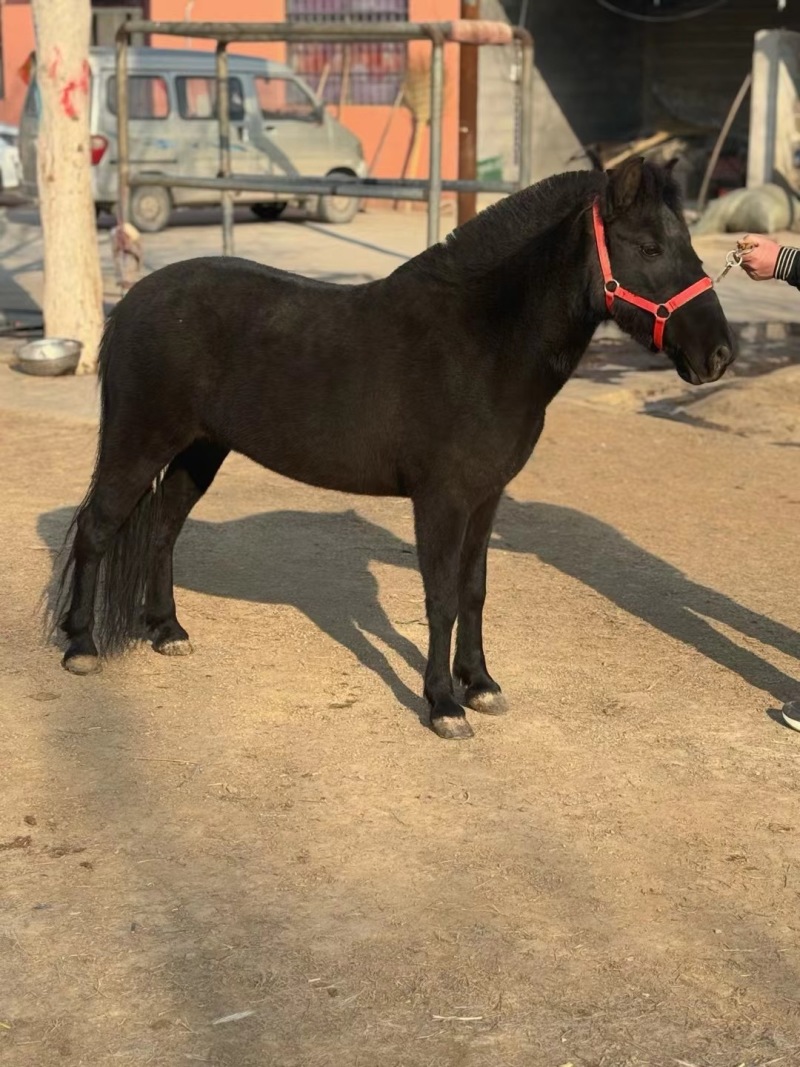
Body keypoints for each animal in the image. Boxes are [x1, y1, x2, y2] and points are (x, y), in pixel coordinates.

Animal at [49, 157, 734, 740]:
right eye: (649, 248)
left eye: (689, 244)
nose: (719, 355)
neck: (480, 342)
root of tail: (134, 300)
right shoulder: (442, 500)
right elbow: (441, 597)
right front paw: (444, 706)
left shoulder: (486, 498)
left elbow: (475, 589)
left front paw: (481, 685)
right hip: (138, 442)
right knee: (99, 528)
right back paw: (80, 646)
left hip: (200, 450)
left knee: (164, 528)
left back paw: (167, 631)